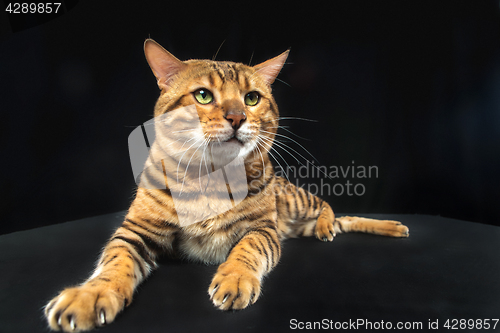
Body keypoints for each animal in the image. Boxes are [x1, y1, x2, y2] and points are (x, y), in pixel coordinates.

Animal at [44, 38, 410, 330]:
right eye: (203, 95)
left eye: (252, 98)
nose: (237, 117)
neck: (210, 177)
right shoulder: (137, 230)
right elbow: (113, 263)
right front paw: (89, 296)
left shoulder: (263, 229)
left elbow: (246, 250)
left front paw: (235, 278)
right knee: (342, 220)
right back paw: (386, 227)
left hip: (294, 203)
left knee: (329, 208)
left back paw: (358, 226)